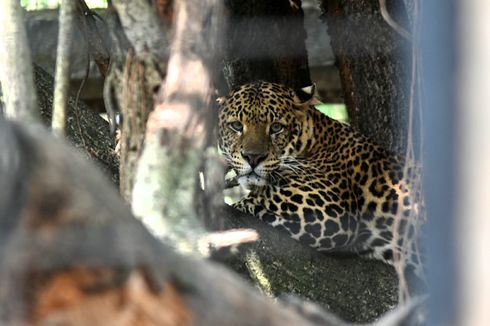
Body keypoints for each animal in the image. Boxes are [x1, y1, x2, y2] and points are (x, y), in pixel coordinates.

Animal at [218, 80, 424, 282]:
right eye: (236, 126)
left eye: (276, 127)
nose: (253, 158)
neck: (315, 140)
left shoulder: (328, 209)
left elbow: (259, 198)